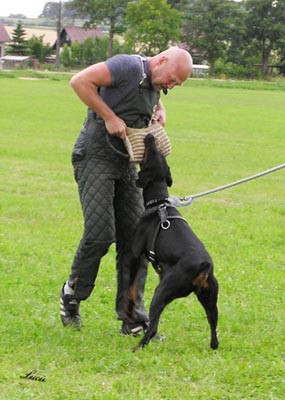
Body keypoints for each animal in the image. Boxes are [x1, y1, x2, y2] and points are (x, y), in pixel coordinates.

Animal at [123, 134, 217, 350]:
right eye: (158, 152)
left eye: (151, 152)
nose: (150, 136)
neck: (159, 203)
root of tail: (204, 266)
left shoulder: (134, 253)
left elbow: (131, 287)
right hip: (210, 296)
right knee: (213, 324)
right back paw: (213, 346)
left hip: (161, 292)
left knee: (152, 328)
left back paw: (136, 348)